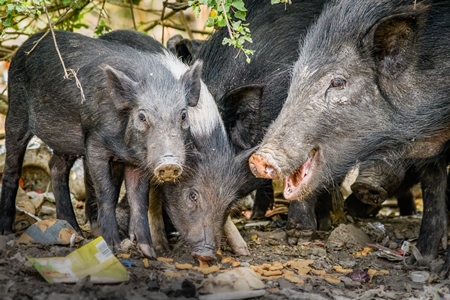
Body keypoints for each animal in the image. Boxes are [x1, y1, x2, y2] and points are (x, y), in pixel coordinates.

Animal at [0, 29, 204, 258]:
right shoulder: (94, 144)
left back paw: (75, 230)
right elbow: (107, 192)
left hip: (67, 141)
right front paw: (113, 247)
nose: (169, 163)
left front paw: (149, 253)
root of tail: (27, 44)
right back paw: (7, 231)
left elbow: (138, 200)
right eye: (142, 116)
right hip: (16, 110)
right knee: (12, 168)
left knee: (56, 166)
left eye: (183, 115)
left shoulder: (137, 161)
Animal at [250, 0, 450, 276]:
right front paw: (420, 262)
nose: (257, 159)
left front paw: (436, 269)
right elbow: (433, 188)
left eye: (337, 82)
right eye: (295, 77)